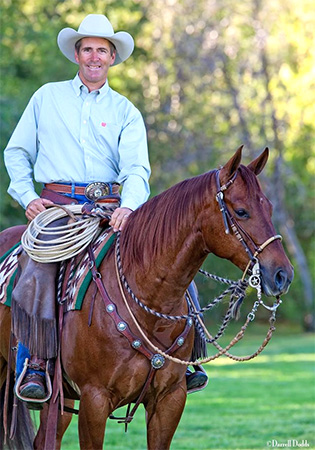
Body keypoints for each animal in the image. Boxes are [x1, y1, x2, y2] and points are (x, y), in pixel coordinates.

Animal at [0, 146, 294, 448]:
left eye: (269, 208)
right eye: (242, 211)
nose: (282, 275)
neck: (148, 303)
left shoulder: (169, 400)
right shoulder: (94, 401)